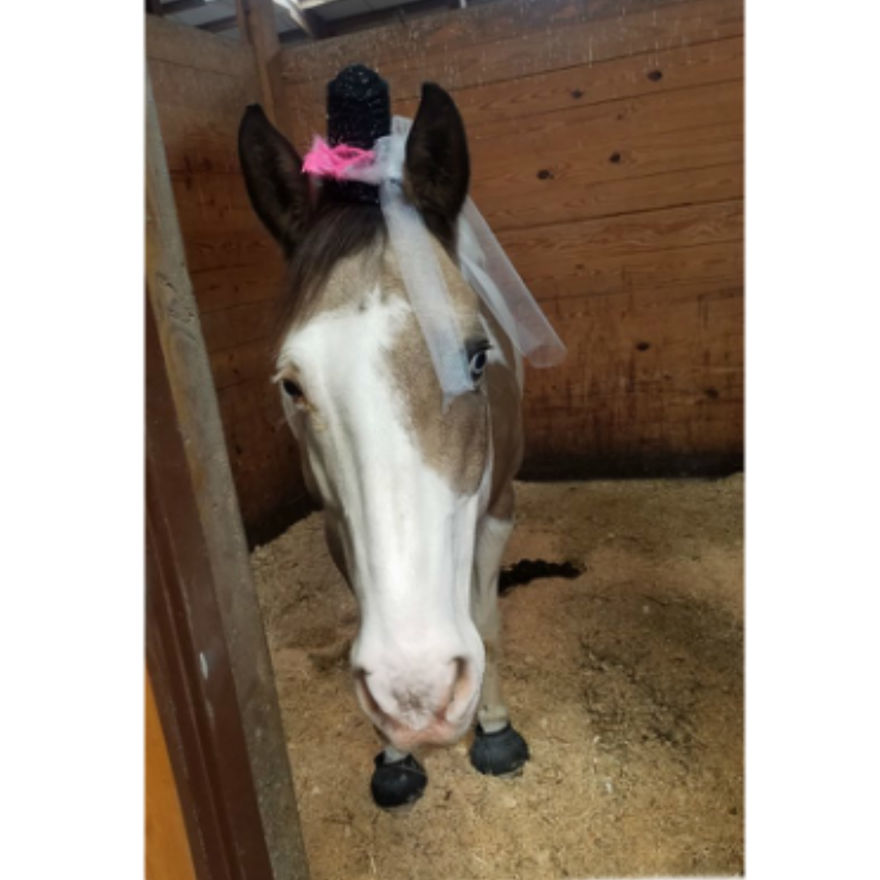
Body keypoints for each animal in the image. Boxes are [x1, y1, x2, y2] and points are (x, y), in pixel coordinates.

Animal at [238, 75, 531, 809]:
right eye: (292, 385)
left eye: (477, 357)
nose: (418, 692)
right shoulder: (337, 527)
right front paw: (397, 754)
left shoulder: (499, 509)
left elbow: (486, 620)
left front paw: (494, 728)